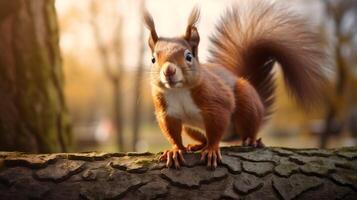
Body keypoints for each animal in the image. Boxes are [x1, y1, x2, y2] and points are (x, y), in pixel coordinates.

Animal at [143, 0, 326, 169]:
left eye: (189, 56)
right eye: (153, 59)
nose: (169, 71)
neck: (179, 91)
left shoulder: (216, 102)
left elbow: (217, 126)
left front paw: (212, 150)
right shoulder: (167, 112)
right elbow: (172, 133)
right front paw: (175, 150)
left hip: (247, 105)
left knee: (247, 130)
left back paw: (252, 141)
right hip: (191, 128)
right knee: (202, 136)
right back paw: (197, 144)